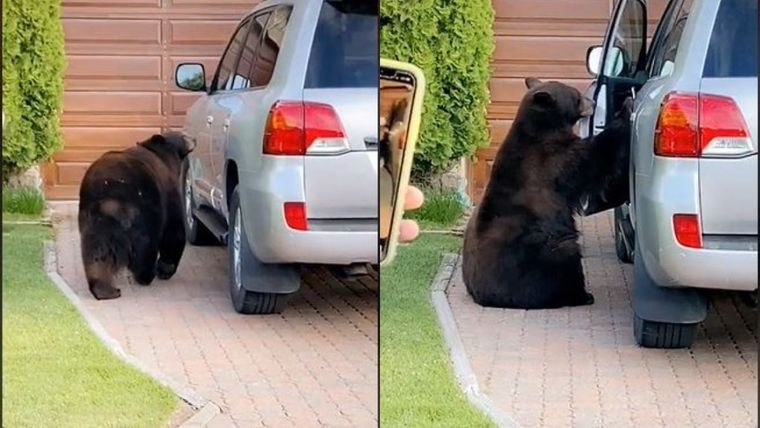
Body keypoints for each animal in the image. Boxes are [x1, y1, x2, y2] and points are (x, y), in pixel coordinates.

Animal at [78, 132, 194, 300]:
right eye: (182, 135)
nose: (194, 139)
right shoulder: (169, 191)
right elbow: (174, 229)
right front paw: (166, 268)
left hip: (93, 220)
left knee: (95, 252)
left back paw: (106, 290)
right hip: (145, 210)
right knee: (146, 245)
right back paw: (146, 275)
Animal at [462, 77, 632, 309]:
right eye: (575, 95)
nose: (592, 102)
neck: (544, 129)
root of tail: (485, 298)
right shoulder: (550, 162)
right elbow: (592, 157)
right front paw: (626, 109)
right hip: (539, 254)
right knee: (565, 257)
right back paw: (580, 295)